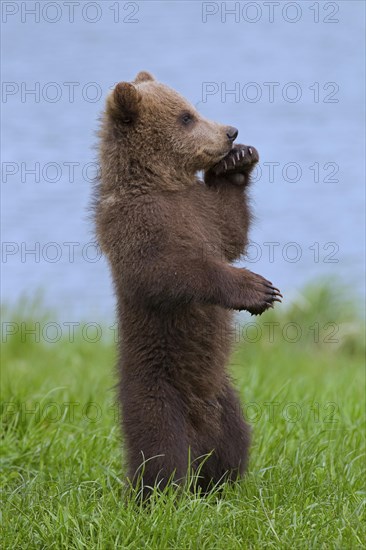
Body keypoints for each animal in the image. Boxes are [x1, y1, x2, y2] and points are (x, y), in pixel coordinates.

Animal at [93, 71, 282, 498]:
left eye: (192, 108)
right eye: (186, 117)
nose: (231, 132)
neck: (163, 183)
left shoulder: (202, 213)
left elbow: (230, 231)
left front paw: (236, 164)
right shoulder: (139, 223)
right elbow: (167, 272)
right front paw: (259, 290)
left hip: (226, 400)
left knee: (235, 444)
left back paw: (222, 486)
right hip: (157, 397)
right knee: (161, 456)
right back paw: (161, 496)